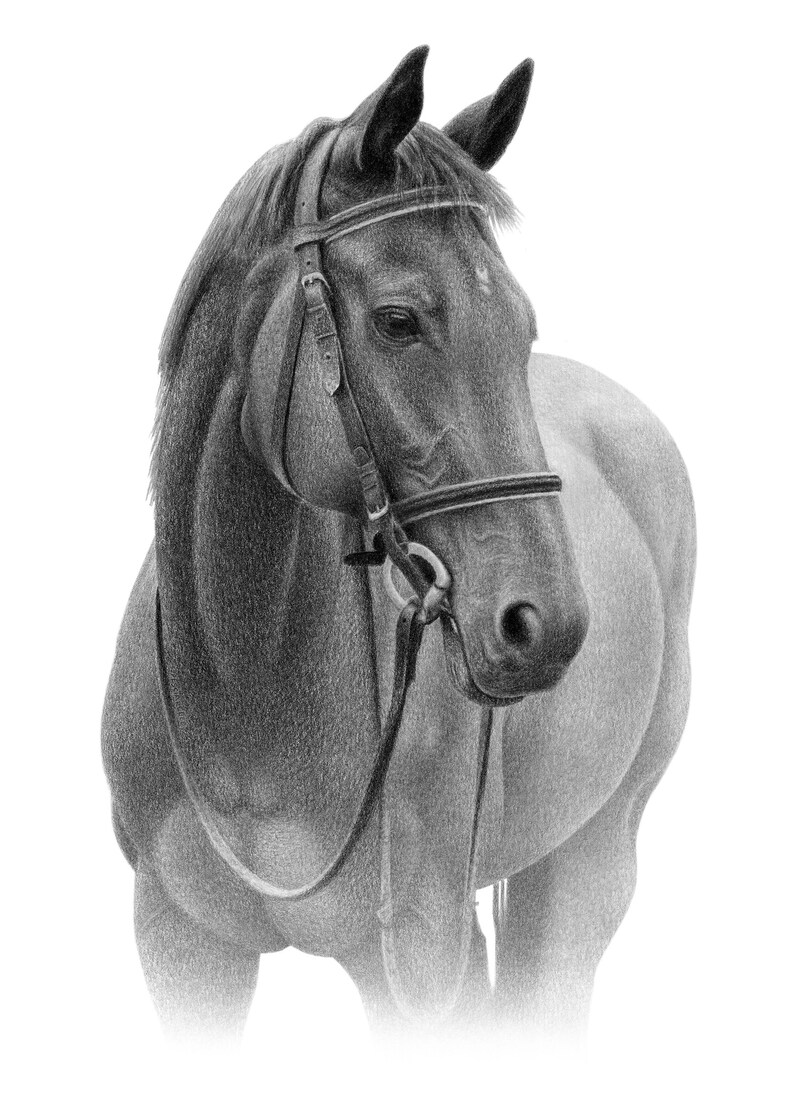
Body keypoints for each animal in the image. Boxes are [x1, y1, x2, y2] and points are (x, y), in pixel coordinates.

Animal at [102, 45, 695, 1044]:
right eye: (398, 320)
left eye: (521, 325)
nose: (546, 624)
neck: (245, 683)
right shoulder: (181, 946)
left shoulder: (413, 957)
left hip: (590, 858)